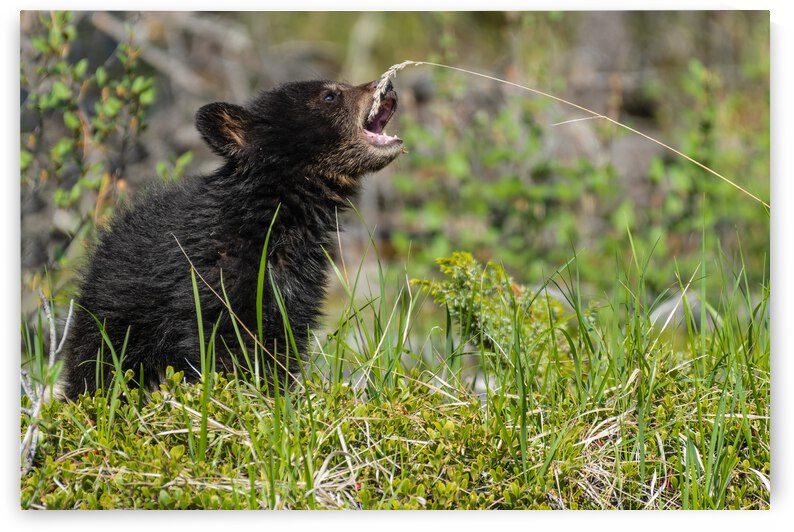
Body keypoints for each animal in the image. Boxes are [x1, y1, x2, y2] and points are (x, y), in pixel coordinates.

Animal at [62, 78, 403, 400]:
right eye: (330, 95)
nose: (387, 85)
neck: (275, 218)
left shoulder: (297, 283)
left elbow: (283, 341)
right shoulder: (211, 274)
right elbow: (222, 343)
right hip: (112, 326)